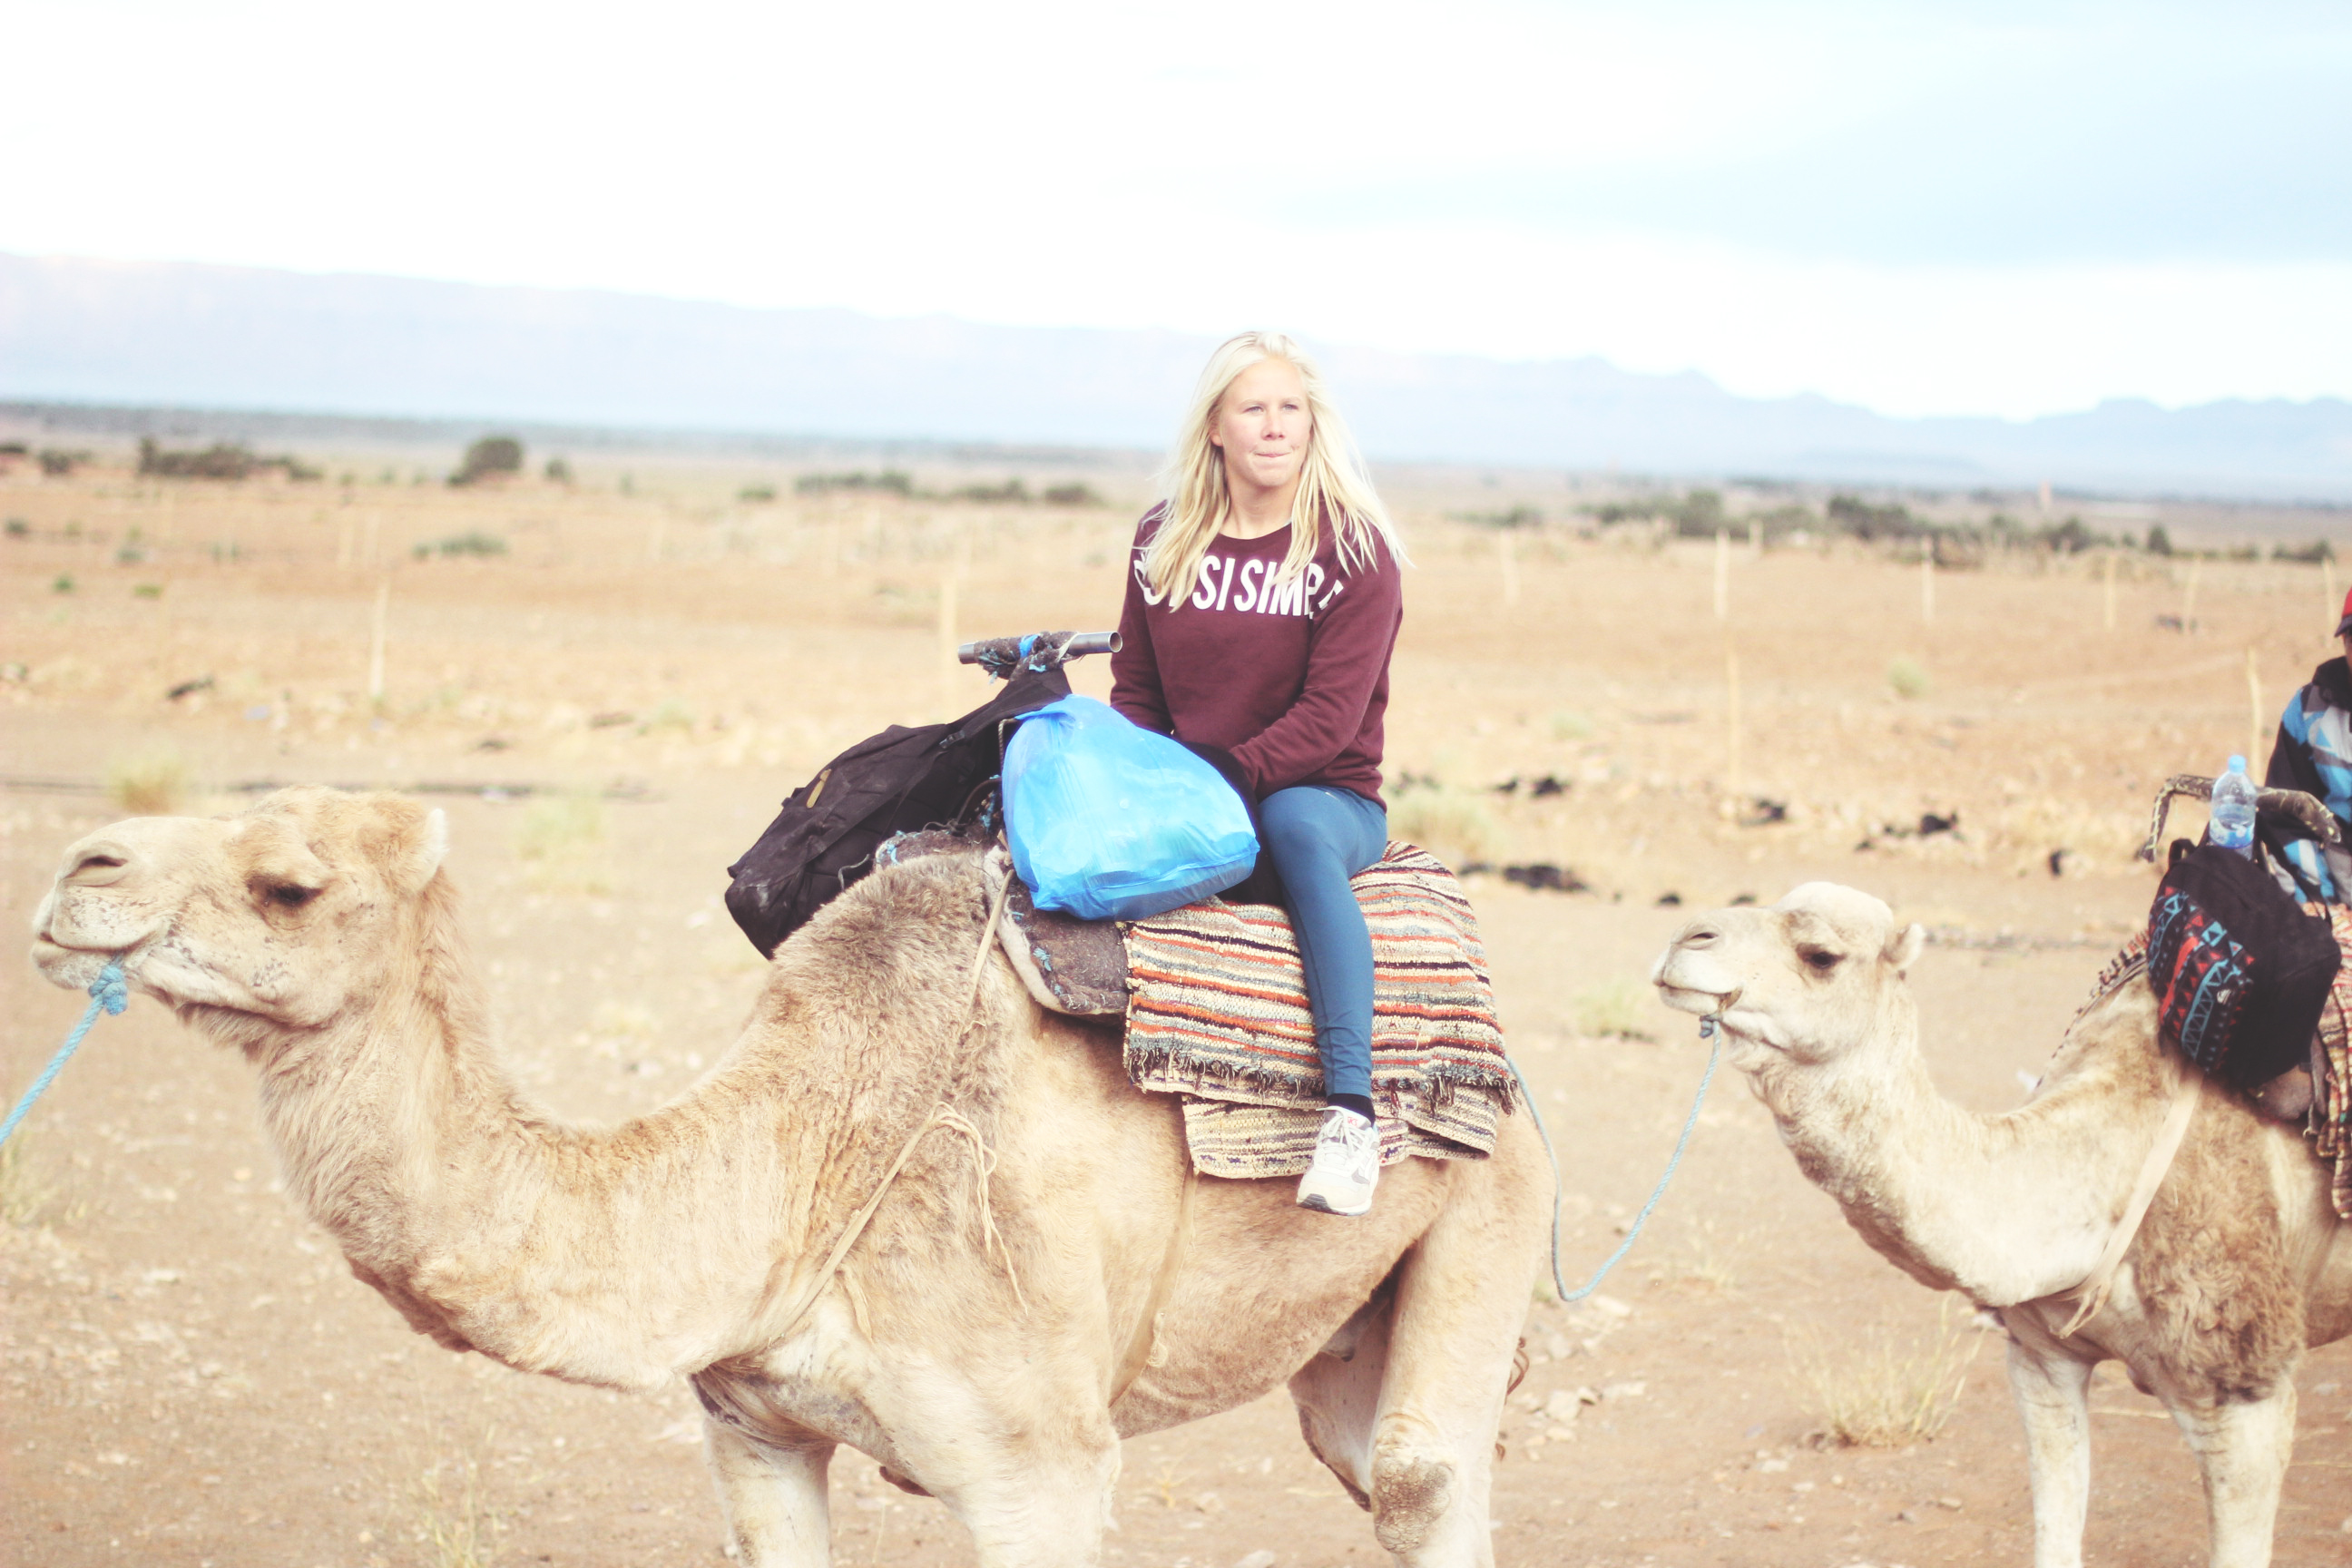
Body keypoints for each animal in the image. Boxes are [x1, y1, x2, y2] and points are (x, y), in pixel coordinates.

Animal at [32, 789, 1562, 1561]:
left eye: (288, 883)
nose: (72, 871)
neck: (795, 1168)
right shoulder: (755, 1428)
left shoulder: (1041, 1463)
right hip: (1344, 1326)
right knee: (1366, 1458)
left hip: (1498, 1198)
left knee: (1421, 1478)